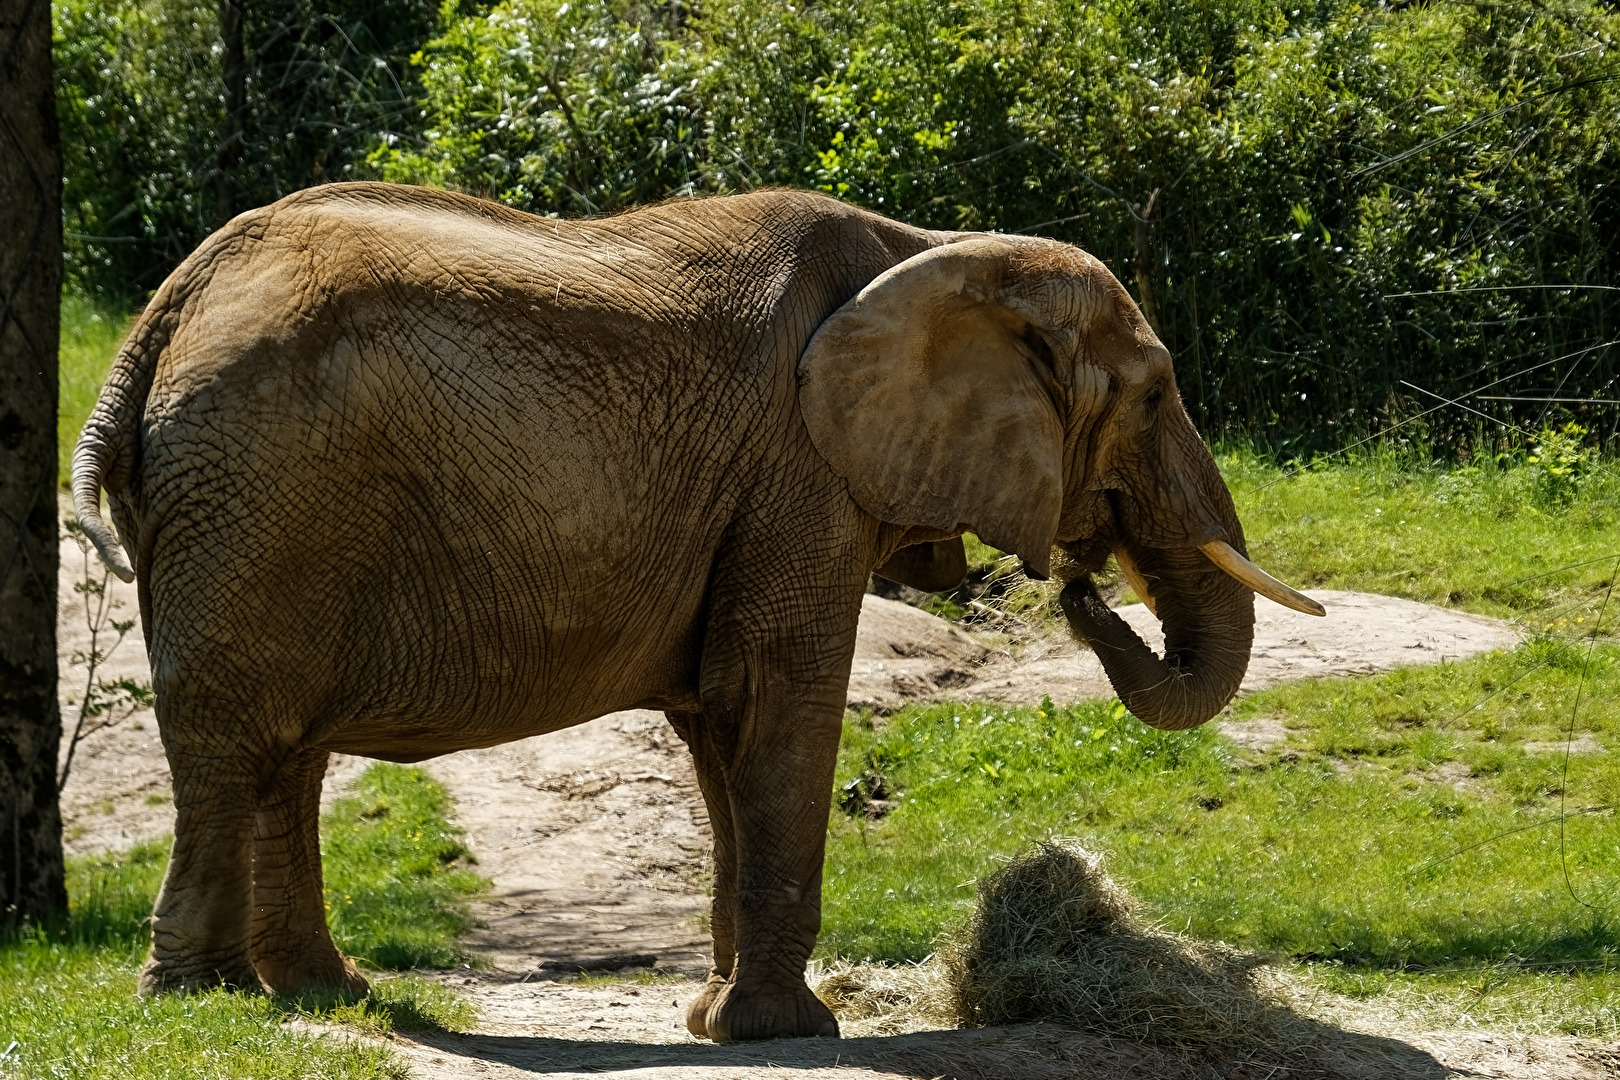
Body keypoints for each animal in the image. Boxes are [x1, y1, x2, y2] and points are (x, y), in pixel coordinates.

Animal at [72, 183, 1321, 1042]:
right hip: (260, 489)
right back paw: (203, 998)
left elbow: (720, 721)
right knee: (234, 737)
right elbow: (773, 697)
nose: (1080, 580)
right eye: (1152, 394)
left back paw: (324, 997)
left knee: (280, 747)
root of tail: (162, 318)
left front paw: (716, 1020)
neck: (929, 250)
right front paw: (787, 1032)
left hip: (250, 507)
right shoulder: (799, 473)